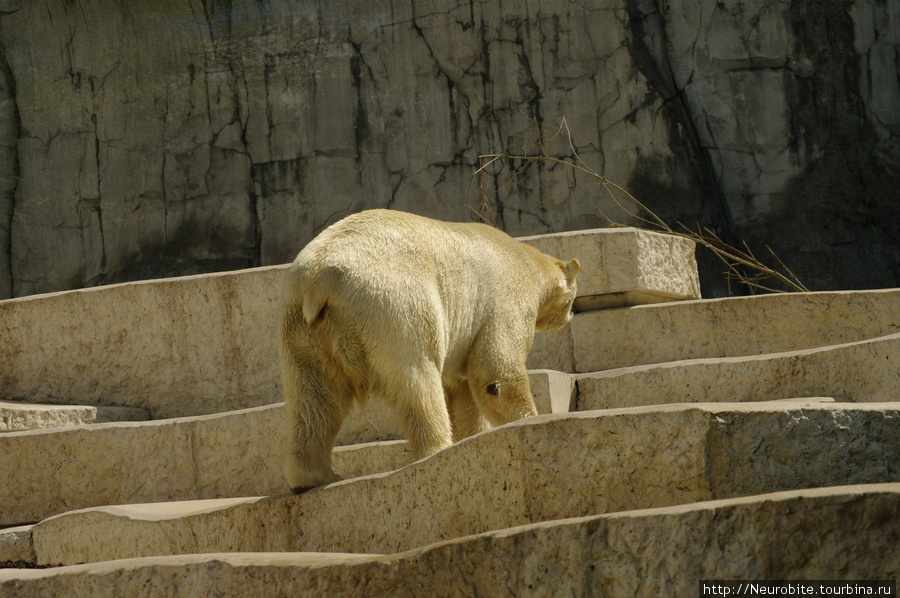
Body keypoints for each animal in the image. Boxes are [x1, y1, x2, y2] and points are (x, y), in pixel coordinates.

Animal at [278, 211, 580, 492]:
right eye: (573, 298)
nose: (572, 315)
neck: (528, 261)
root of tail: (320, 280)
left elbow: (461, 389)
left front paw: (473, 435)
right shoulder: (506, 297)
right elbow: (496, 372)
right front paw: (528, 419)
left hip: (302, 327)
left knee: (314, 398)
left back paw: (314, 476)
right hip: (393, 302)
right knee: (417, 380)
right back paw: (438, 448)